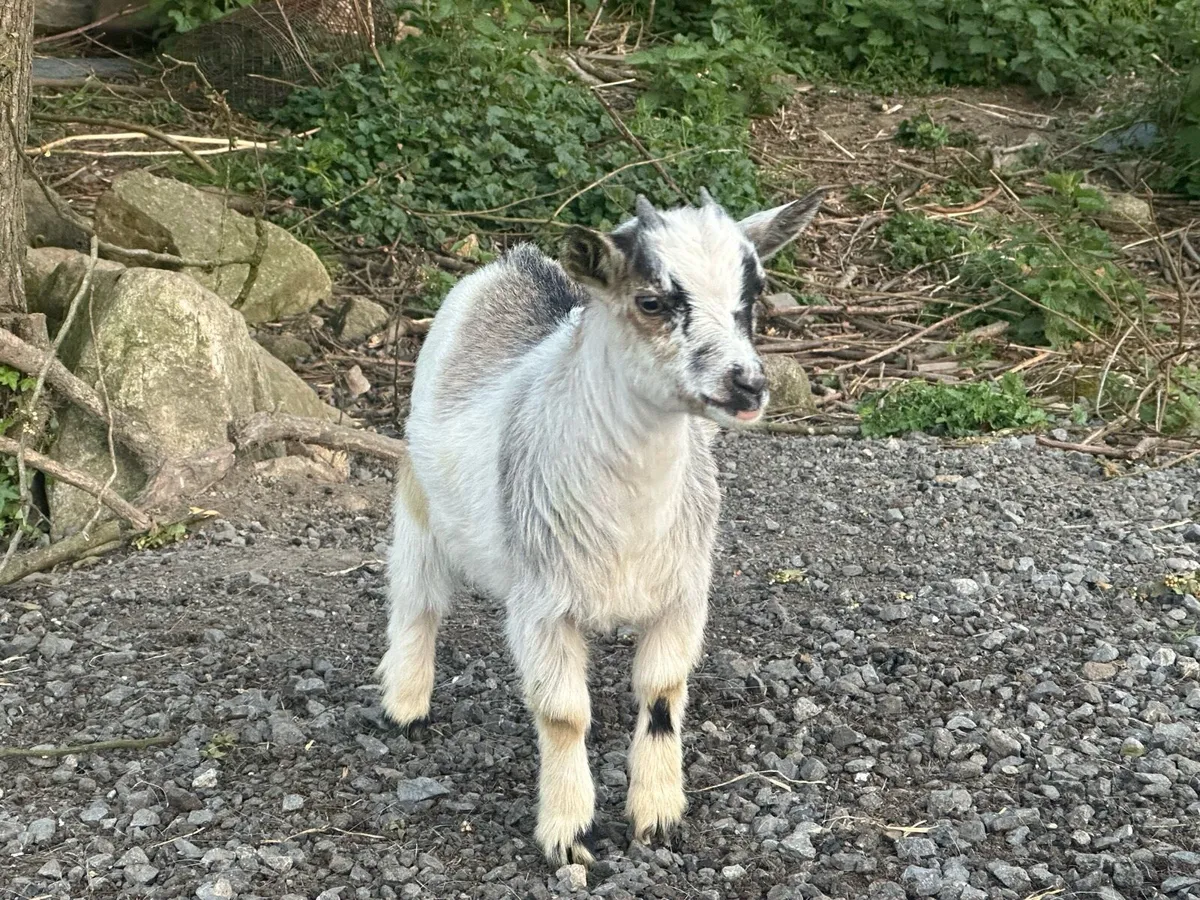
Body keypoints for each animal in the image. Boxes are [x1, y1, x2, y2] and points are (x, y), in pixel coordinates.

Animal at [376, 187, 825, 866]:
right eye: (651, 301)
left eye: (754, 293)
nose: (747, 384)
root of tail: (516, 260)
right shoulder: (542, 605)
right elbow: (564, 715)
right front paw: (569, 834)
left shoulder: (682, 595)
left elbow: (662, 694)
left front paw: (657, 817)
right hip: (419, 497)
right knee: (416, 597)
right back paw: (405, 704)